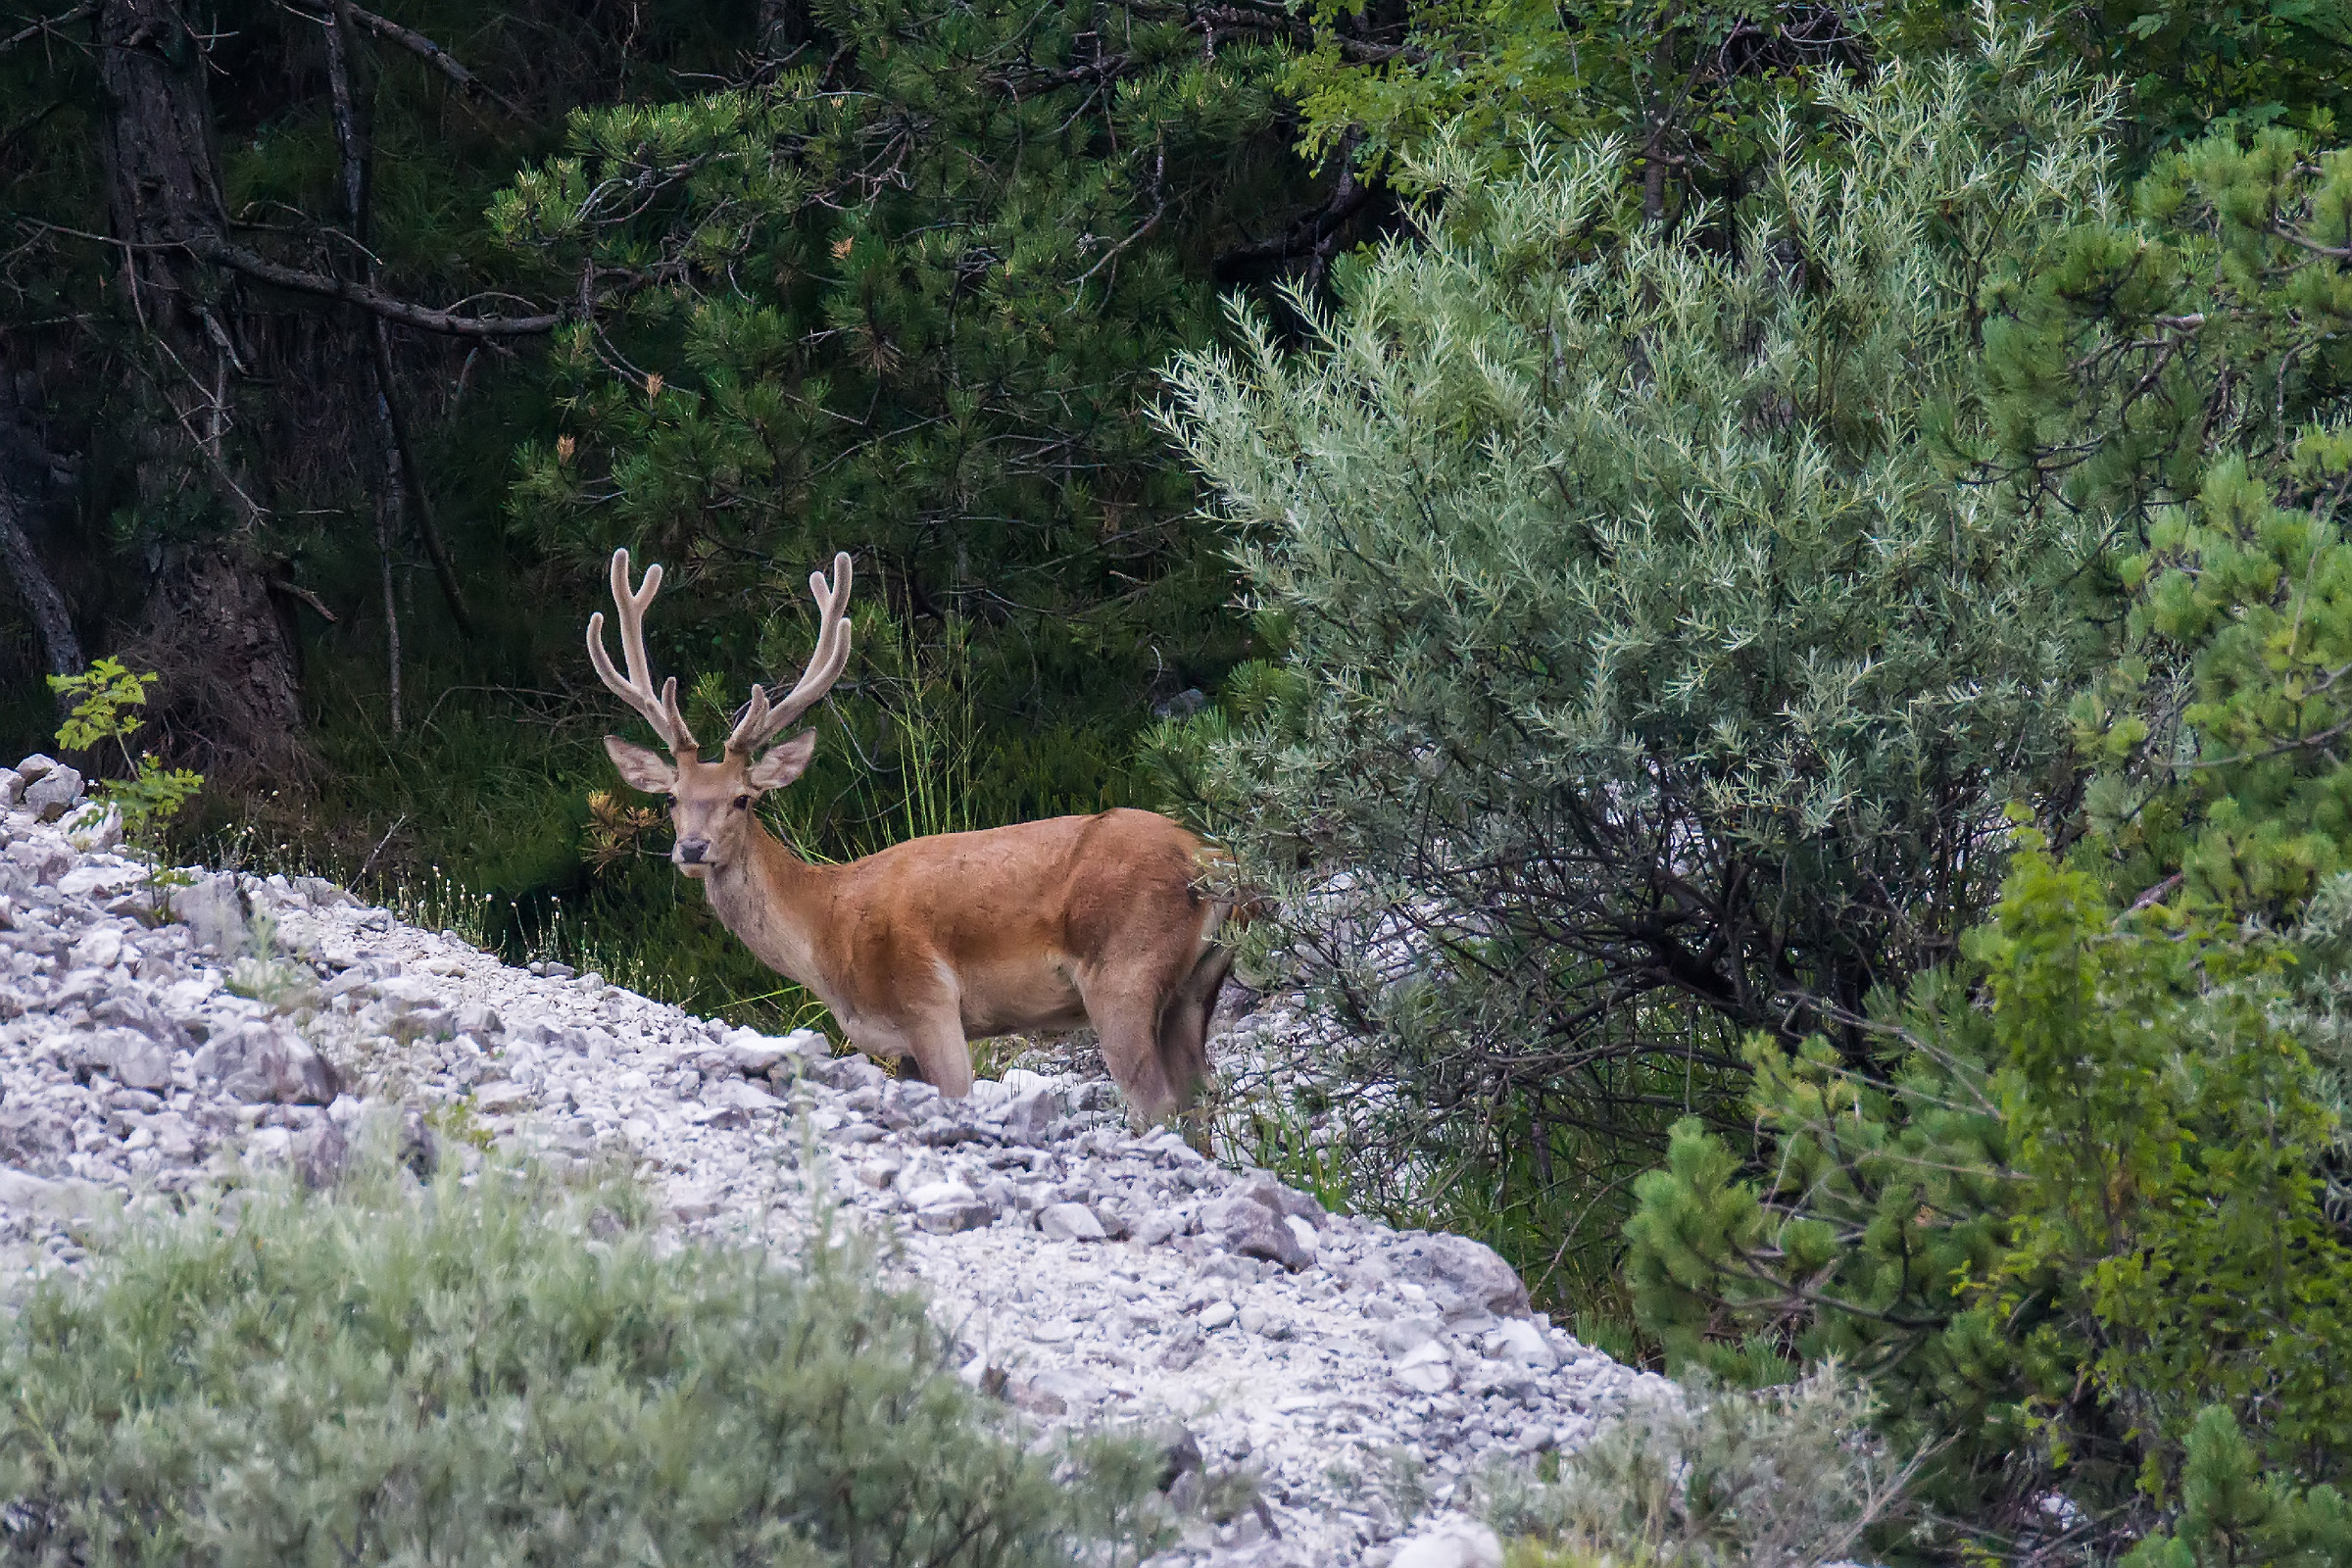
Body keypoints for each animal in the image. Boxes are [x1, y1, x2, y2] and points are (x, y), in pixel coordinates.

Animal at [587, 546, 1243, 1126]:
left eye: (743, 799)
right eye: (672, 798)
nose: (692, 849)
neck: (824, 928)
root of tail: (1213, 862)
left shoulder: (928, 1003)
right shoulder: (898, 1045)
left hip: (1122, 970)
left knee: (1159, 1104)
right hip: (1195, 986)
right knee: (1199, 1102)